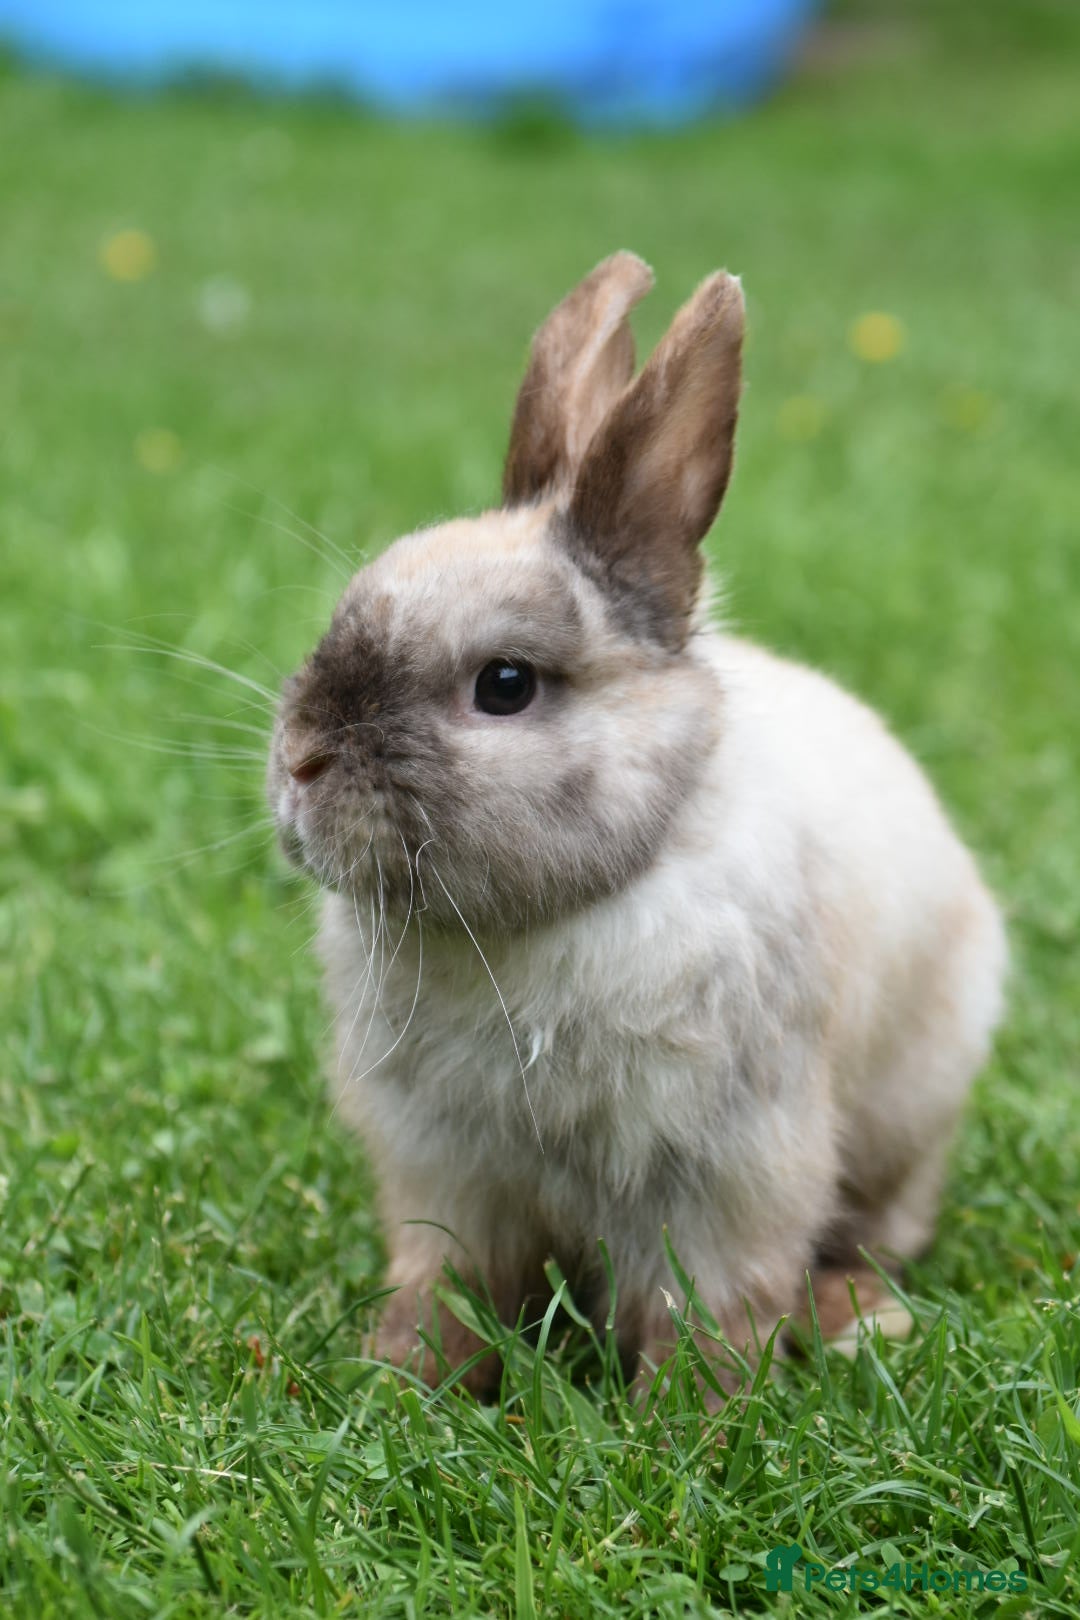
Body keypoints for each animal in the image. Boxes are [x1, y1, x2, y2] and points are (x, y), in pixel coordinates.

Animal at [267, 252, 1007, 1397]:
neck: (534, 925)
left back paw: (857, 1315)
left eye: (506, 684)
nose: (300, 762)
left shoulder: (728, 1168)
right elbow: (446, 1287)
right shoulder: (449, 1172)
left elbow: (713, 1308)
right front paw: (401, 1382)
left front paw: (690, 1419)